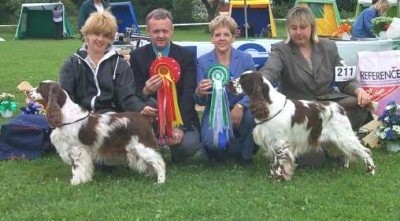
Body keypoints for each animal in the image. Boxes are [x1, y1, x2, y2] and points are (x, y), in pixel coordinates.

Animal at [28, 81, 166, 185]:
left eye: (40, 87)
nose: (28, 92)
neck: (65, 116)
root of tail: (144, 117)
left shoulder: (76, 149)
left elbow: (76, 167)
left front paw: (75, 182)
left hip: (142, 146)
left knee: (159, 162)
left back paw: (160, 181)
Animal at [230, 71, 376, 180]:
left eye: (243, 80)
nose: (228, 84)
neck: (268, 105)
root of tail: (339, 107)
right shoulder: (271, 141)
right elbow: (274, 162)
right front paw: (272, 176)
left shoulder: (280, 142)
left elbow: (280, 162)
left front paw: (278, 178)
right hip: (335, 140)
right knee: (347, 153)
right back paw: (344, 166)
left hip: (344, 137)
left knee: (364, 151)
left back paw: (371, 171)